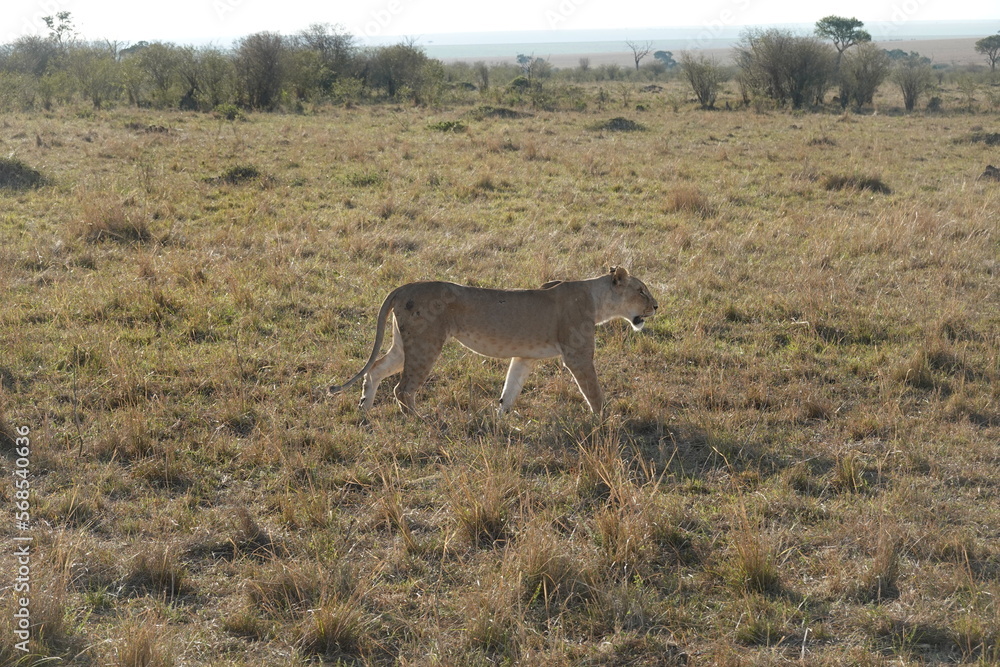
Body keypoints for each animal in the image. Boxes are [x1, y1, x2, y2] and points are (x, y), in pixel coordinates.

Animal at [328, 267, 658, 415]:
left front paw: (501, 418)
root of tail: (403, 287)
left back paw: (364, 410)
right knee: (402, 388)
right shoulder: (577, 355)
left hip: (403, 344)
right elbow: (594, 391)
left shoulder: (524, 357)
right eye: (641, 290)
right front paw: (605, 422)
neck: (599, 301)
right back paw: (418, 420)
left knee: (376, 369)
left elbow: (510, 389)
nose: (656, 306)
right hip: (426, 344)